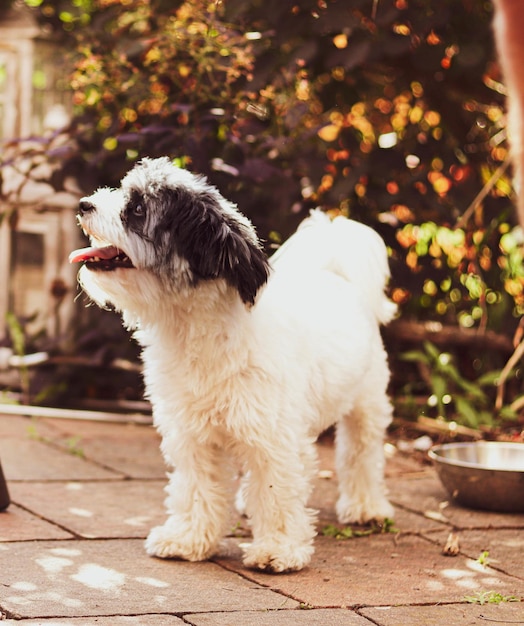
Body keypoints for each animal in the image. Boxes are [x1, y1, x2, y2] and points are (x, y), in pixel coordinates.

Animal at [70, 157, 398, 572]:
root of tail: (334, 273)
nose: (84, 203)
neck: (199, 331)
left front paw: (278, 549)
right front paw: (189, 539)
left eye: (138, 208)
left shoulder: (274, 436)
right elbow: (197, 487)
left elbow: (276, 491)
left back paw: (366, 507)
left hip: (366, 402)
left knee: (361, 453)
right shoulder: (193, 434)